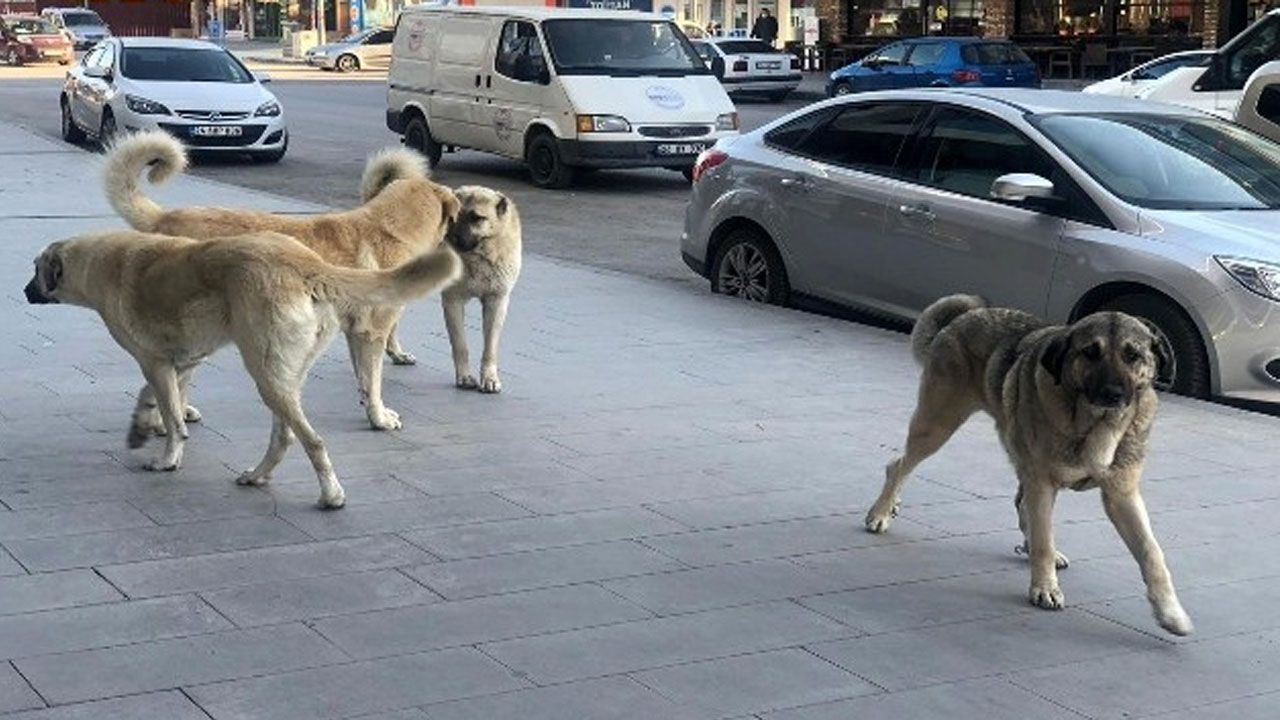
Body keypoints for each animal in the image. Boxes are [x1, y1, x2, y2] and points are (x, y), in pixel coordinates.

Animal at [24, 230, 460, 508]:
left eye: (35, 269)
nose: (25, 292)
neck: (97, 263)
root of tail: (307, 263)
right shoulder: (183, 359)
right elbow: (161, 398)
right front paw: (143, 427)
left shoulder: (154, 362)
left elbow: (171, 415)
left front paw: (168, 457)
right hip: (283, 375)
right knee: (284, 436)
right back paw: (258, 475)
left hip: (265, 374)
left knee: (312, 441)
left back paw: (330, 496)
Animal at [102, 131, 459, 432]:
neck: (389, 228)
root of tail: (163, 218)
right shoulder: (373, 332)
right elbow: (374, 382)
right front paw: (380, 417)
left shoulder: (356, 332)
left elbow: (363, 378)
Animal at [362, 175, 522, 394]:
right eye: (455, 216)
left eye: (477, 218)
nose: (451, 240)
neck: (478, 256)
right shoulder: (453, 301)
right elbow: (460, 345)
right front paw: (465, 377)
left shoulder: (496, 302)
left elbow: (490, 348)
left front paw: (489, 378)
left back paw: (396, 353)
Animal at [865, 294, 1193, 636]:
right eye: (1090, 352)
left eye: (1133, 355)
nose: (1113, 394)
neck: (1095, 424)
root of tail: (967, 314)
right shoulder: (1043, 483)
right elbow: (1043, 541)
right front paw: (1045, 587)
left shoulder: (1121, 496)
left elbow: (1152, 553)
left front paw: (1170, 611)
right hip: (937, 424)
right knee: (899, 465)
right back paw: (881, 511)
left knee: (1023, 505)